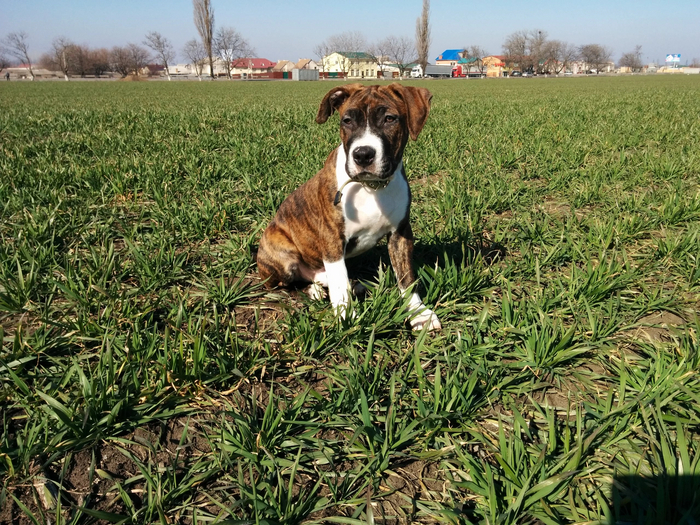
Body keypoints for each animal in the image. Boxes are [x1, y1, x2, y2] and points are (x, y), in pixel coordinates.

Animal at [258, 84, 440, 334]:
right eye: (347, 121)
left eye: (390, 119)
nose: (363, 154)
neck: (371, 187)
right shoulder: (332, 238)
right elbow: (340, 282)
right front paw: (345, 317)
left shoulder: (401, 234)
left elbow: (406, 276)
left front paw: (418, 313)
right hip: (282, 256)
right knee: (286, 284)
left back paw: (351, 286)